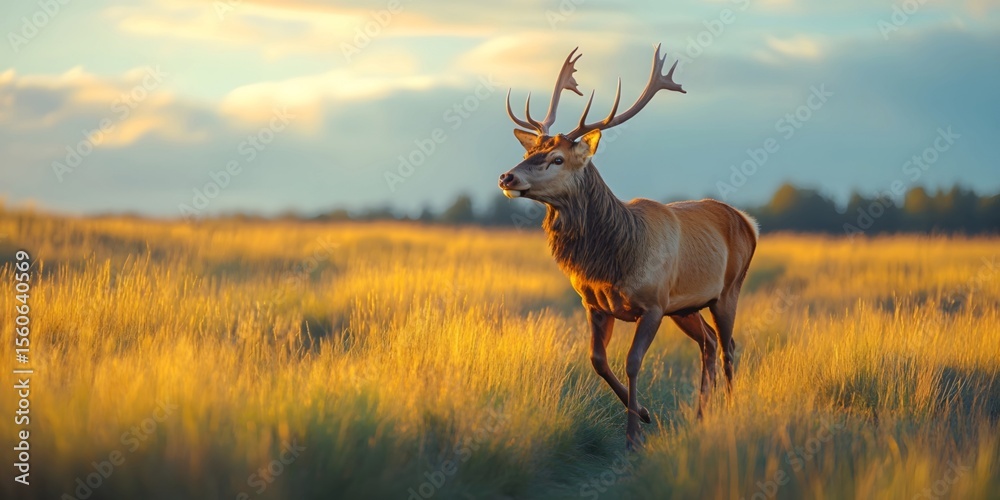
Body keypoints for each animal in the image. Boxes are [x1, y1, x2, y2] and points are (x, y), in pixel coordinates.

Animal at [497, 45, 758, 450]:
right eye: (530, 152)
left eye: (557, 158)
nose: (507, 176)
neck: (613, 260)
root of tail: (749, 222)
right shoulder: (595, 304)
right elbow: (598, 360)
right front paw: (646, 414)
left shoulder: (653, 303)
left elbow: (633, 361)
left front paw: (634, 434)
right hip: (685, 307)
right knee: (710, 342)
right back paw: (701, 415)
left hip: (728, 289)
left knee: (729, 345)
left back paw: (729, 410)